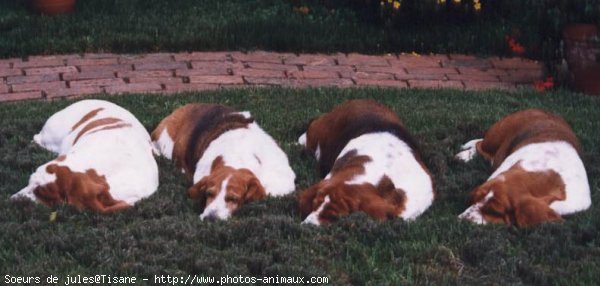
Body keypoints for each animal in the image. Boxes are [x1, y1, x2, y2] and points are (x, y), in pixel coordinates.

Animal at [454, 108, 592, 227]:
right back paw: (465, 156)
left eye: (494, 212)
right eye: (474, 199)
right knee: (479, 146)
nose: (461, 221)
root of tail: (538, 109)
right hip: (494, 139)